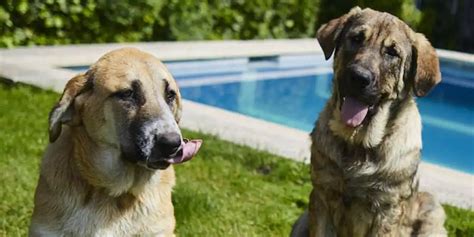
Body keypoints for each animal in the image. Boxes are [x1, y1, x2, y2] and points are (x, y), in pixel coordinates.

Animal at [290, 6, 446, 236]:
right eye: (356, 39)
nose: (359, 77)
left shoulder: (386, 212)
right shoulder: (322, 196)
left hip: (432, 213)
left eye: (392, 53)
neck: (357, 143)